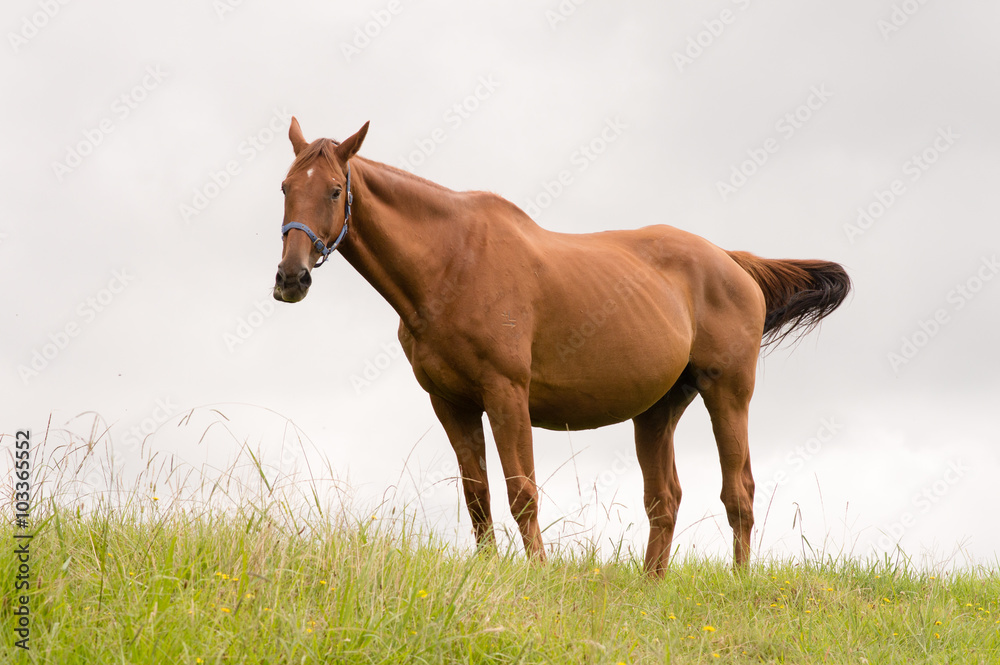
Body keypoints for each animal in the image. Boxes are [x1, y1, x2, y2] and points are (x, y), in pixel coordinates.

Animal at [272, 118, 850, 575]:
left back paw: (738, 580)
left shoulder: (506, 394)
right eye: (284, 187)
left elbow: (522, 492)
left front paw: (539, 572)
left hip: (728, 394)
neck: (453, 261)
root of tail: (732, 261)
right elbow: (477, 494)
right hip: (658, 410)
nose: (291, 278)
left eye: (334, 190)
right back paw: (652, 583)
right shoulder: (451, 403)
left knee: (740, 494)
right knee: (664, 500)